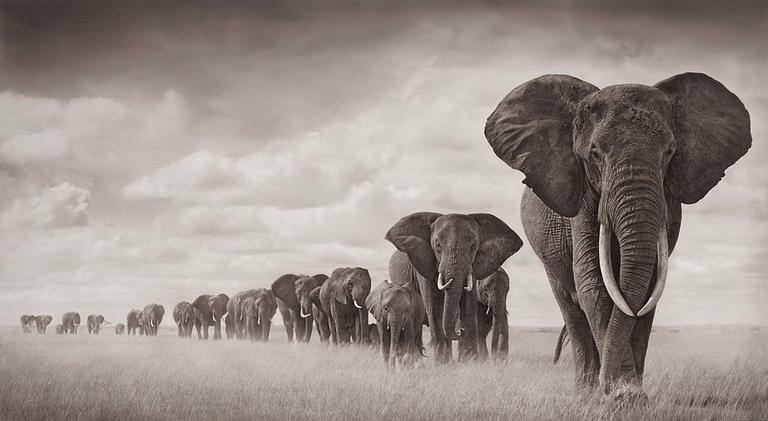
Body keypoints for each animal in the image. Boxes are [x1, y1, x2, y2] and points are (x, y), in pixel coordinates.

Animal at [384, 213, 520, 364]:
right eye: (438, 245)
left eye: (474, 247)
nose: (460, 330)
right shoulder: (424, 263)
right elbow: (435, 306)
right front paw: (442, 364)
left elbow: (468, 304)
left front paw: (469, 362)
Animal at [484, 71, 752, 394]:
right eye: (595, 154)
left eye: (669, 152)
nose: (609, 386)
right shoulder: (582, 196)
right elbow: (593, 283)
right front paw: (621, 395)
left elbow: (648, 288)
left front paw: (629, 393)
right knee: (571, 310)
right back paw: (586, 393)